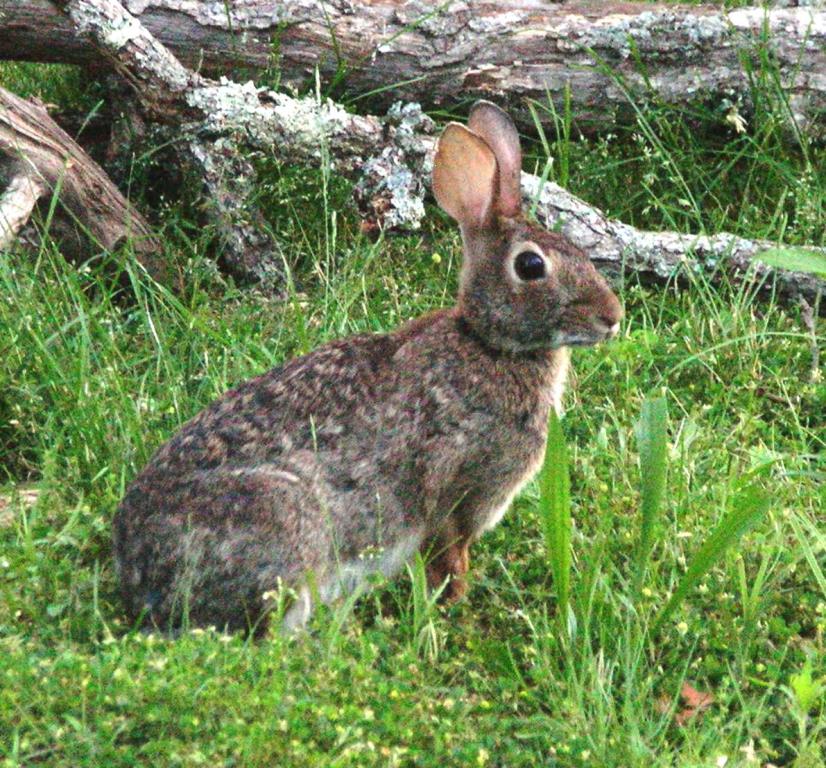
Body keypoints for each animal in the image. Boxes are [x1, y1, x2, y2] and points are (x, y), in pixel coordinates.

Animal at [113, 101, 623, 634]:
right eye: (530, 266)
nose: (613, 317)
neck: (488, 344)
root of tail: (139, 577)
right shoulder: (457, 487)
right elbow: (449, 553)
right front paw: (452, 603)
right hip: (289, 525)